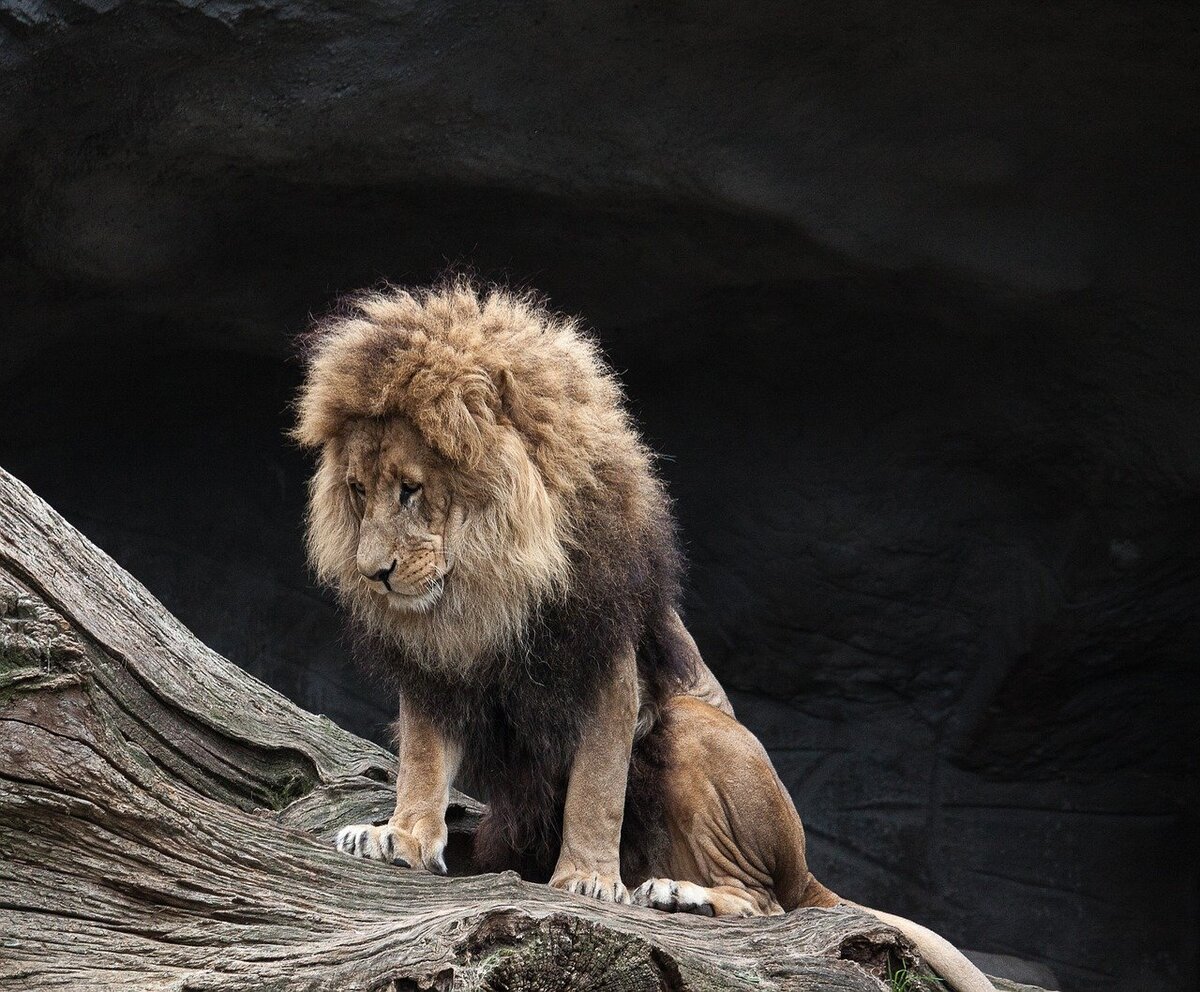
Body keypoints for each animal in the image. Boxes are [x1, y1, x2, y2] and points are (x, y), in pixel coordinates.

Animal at [297, 280, 993, 992]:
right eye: (357, 490)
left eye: (411, 490)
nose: (372, 573)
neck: (488, 587)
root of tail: (806, 869)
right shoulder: (436, 670)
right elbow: (424, 758)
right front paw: (402, 838)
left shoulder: (608, 659)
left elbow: (598, 783)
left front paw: (585, 879)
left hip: (689, 729)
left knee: (767, 903)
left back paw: (674, 894)